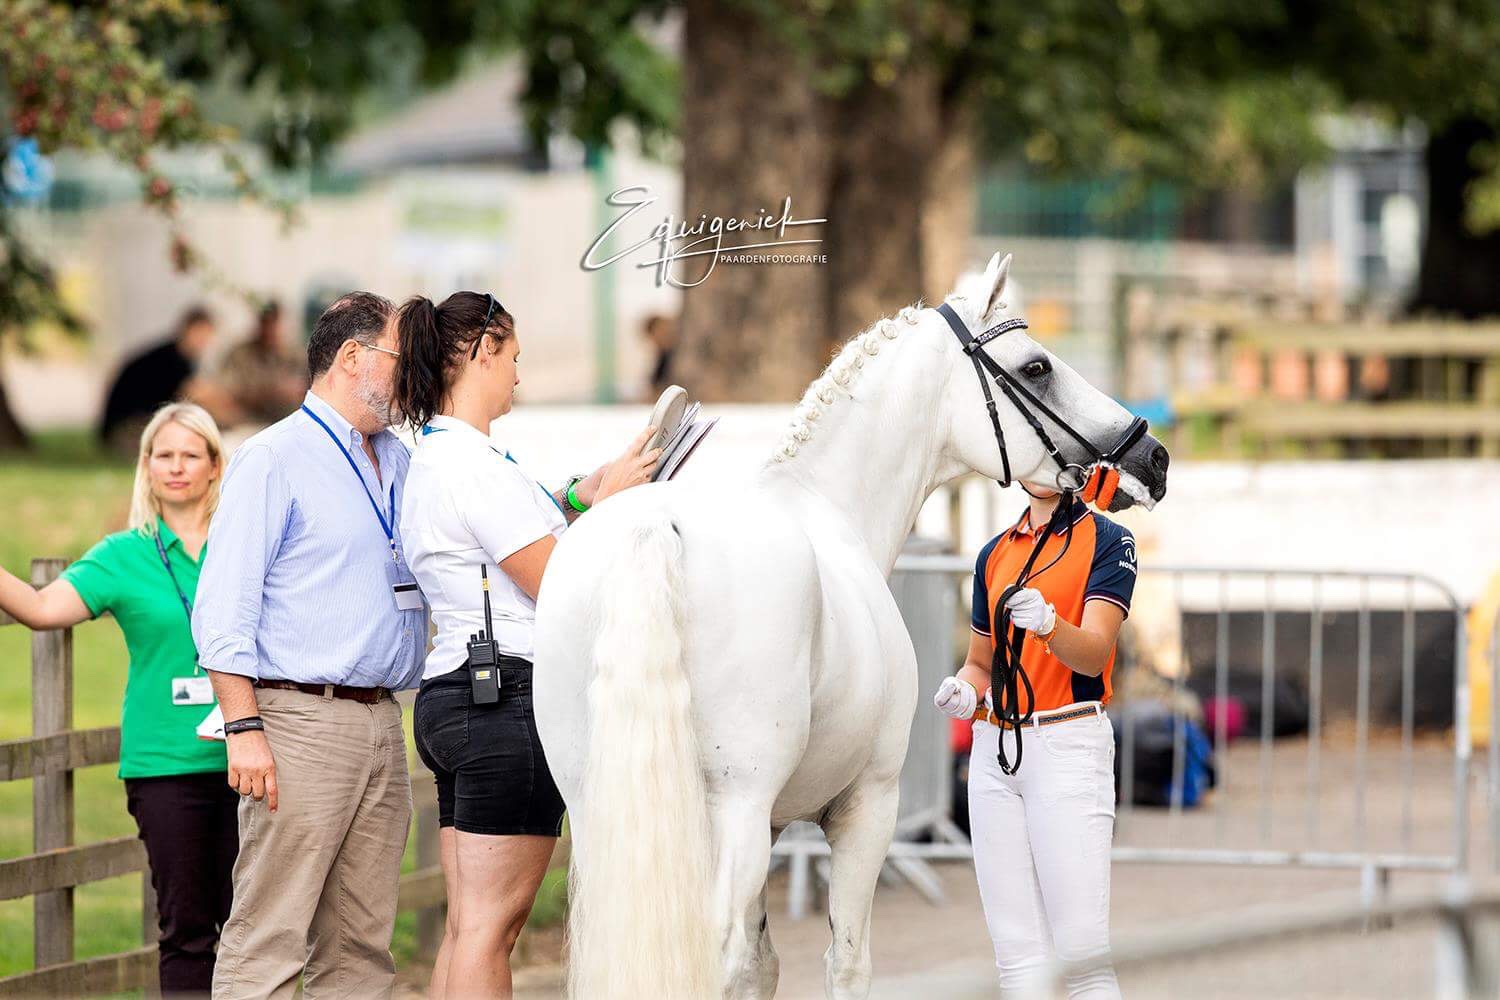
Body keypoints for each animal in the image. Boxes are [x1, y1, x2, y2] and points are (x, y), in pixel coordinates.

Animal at [532, 252, 1170, 1000]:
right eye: (1037, 366)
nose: (1153, 457)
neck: (825, 505)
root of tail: (651, 526)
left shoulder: (774, 823)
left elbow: (763, 966)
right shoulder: (866, 807)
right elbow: (845, 960)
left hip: (606, 811)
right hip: (733, 809)